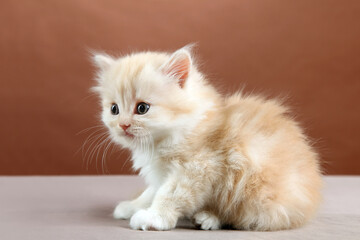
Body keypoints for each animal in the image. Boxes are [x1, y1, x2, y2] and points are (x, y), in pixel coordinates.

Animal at [91, 45, 322, 231]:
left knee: (244, 217)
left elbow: (168, 195)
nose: (123, 125)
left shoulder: (196, 168)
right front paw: (132, 206)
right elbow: (151, 192)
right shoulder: (162, 174)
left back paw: (208, 218)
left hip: (254, 193)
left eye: (142, 108)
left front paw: (153, 217)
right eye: (114, 109)